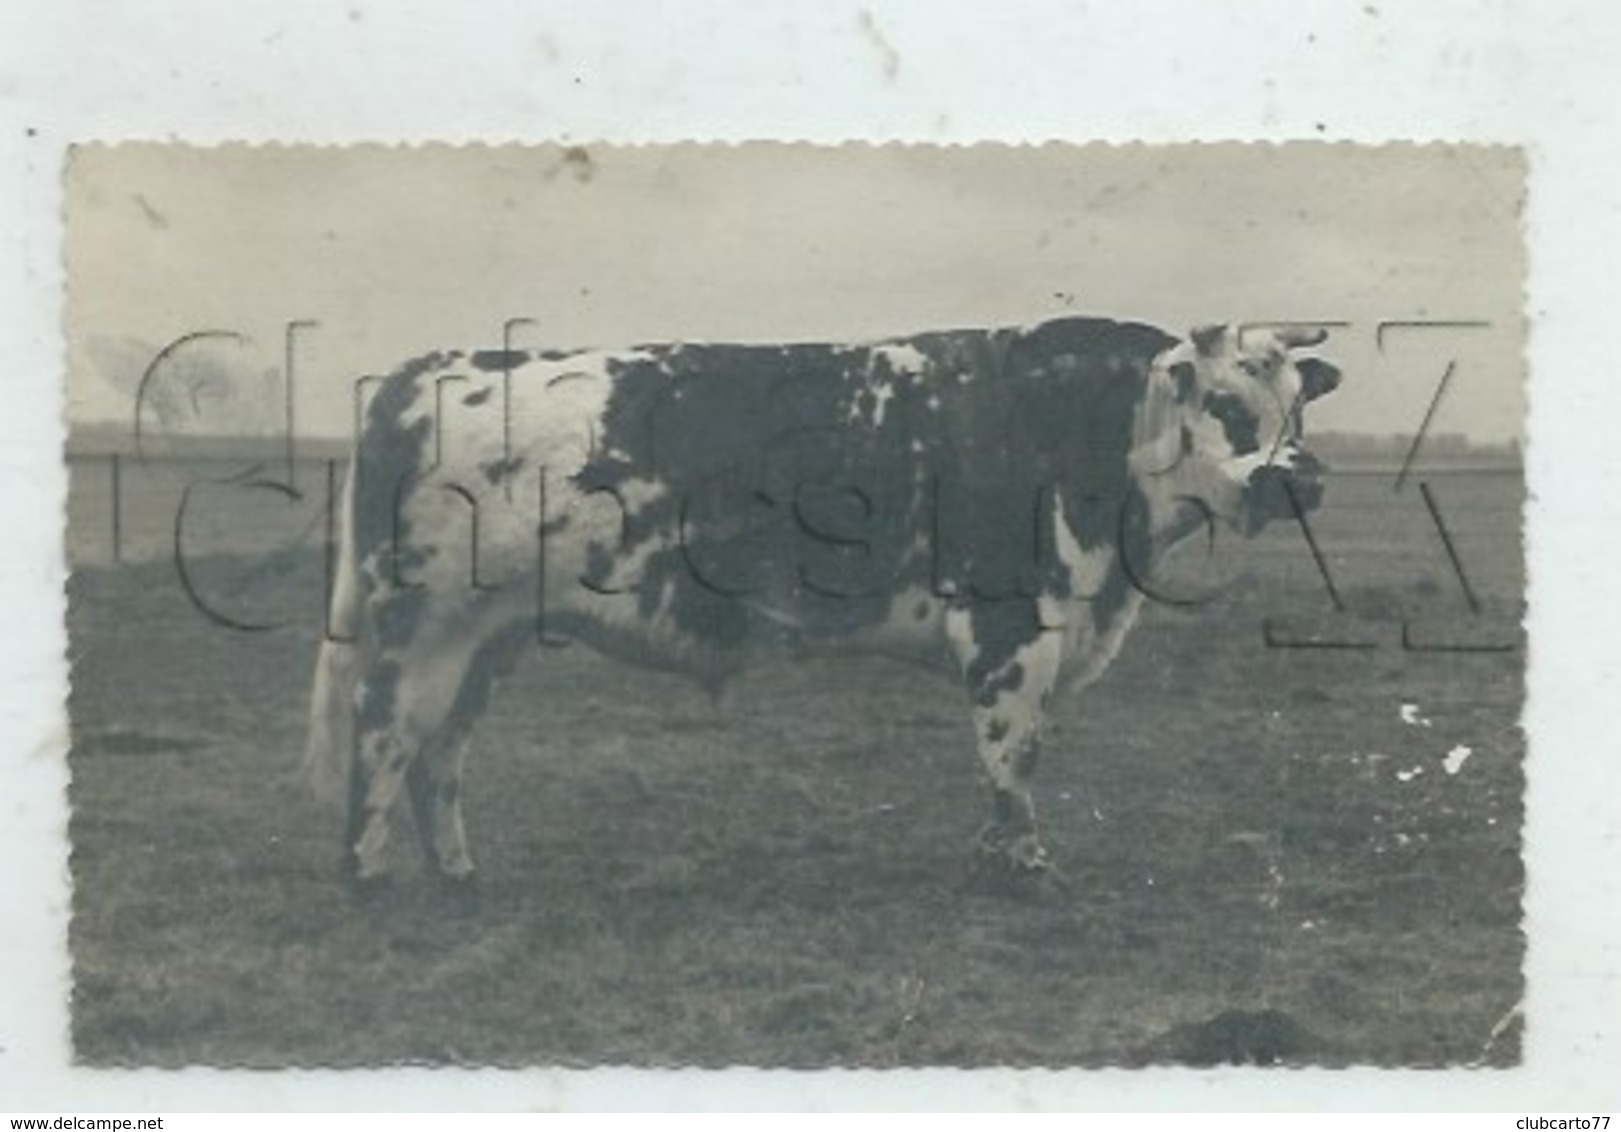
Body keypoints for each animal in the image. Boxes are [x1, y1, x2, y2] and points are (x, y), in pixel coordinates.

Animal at [304, 314, 1342, 888]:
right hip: (421, 625)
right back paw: (366, 878)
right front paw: (1022, 872)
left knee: (442, 751)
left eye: (1299, 405)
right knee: (385, 734)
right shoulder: (1009, 624)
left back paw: (457, 874)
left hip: (489, 637)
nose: (1299, 480)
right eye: (1229, 405)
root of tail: (422, 371)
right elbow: (1012, 754)